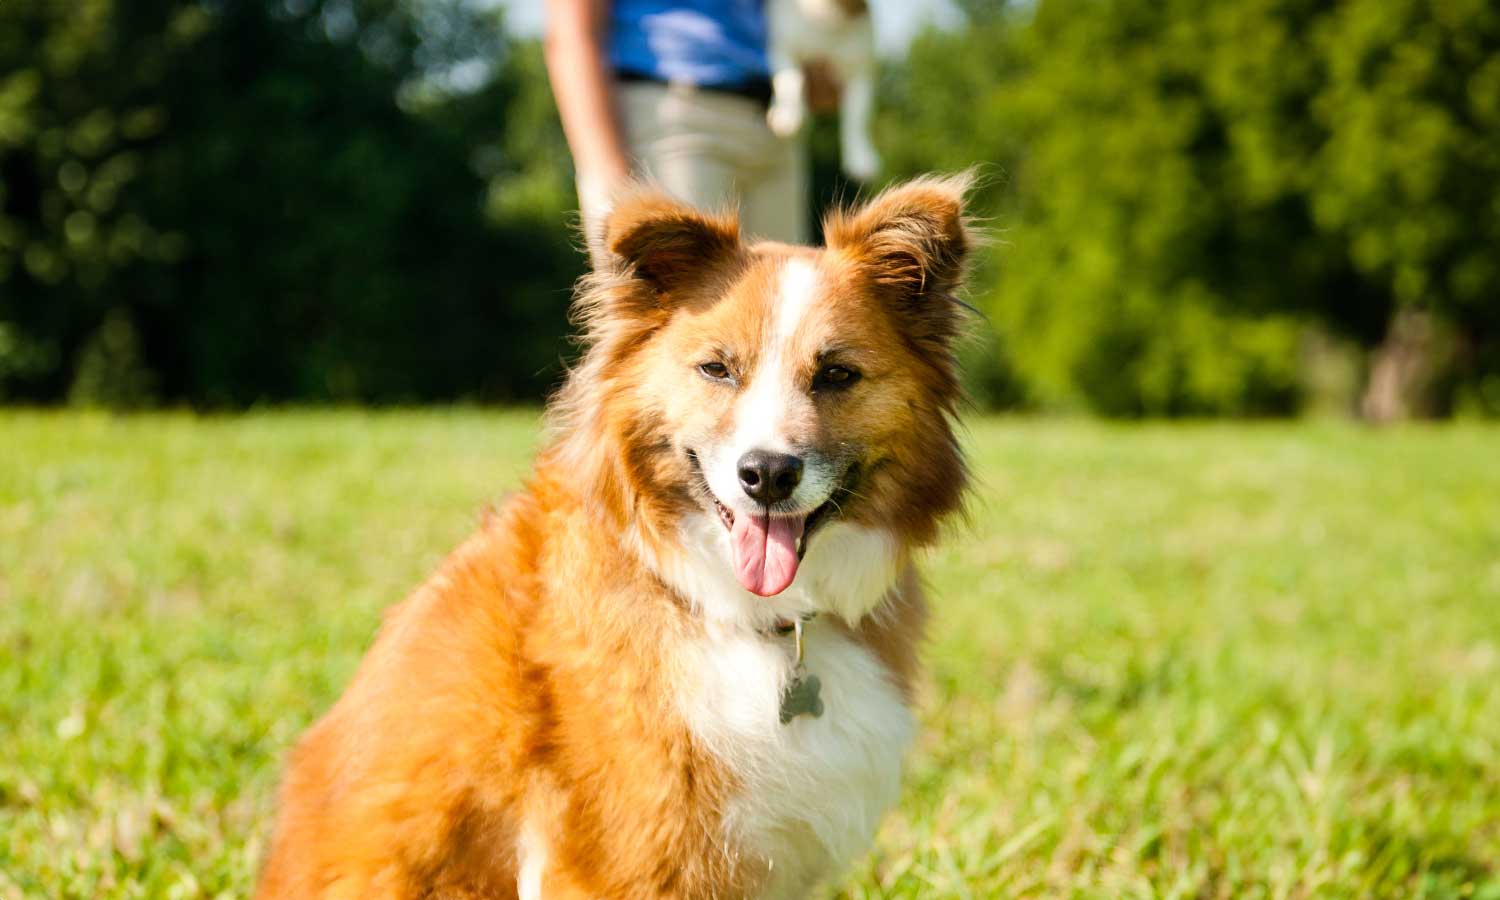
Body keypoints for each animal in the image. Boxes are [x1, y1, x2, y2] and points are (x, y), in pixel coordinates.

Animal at [762, 0, 876, 180]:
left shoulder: (859, 74)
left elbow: (857, 119)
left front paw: (860, 157)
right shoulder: (783, 49)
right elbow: (790, 80)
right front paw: (788, 116)